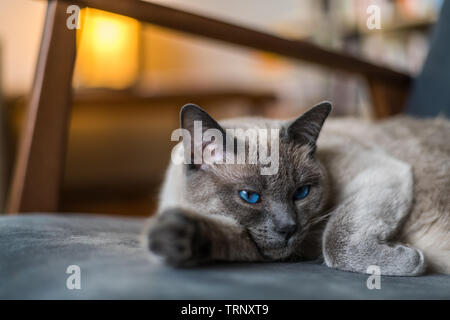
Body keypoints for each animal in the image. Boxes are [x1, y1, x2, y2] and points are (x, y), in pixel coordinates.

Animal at [146, 102, 448, 276]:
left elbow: (335, 242)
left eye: (301, 193)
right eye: (250, 197)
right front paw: (173, 241)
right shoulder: (250, 243)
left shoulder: (381, 169)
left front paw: (413, 262)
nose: (288, 228)